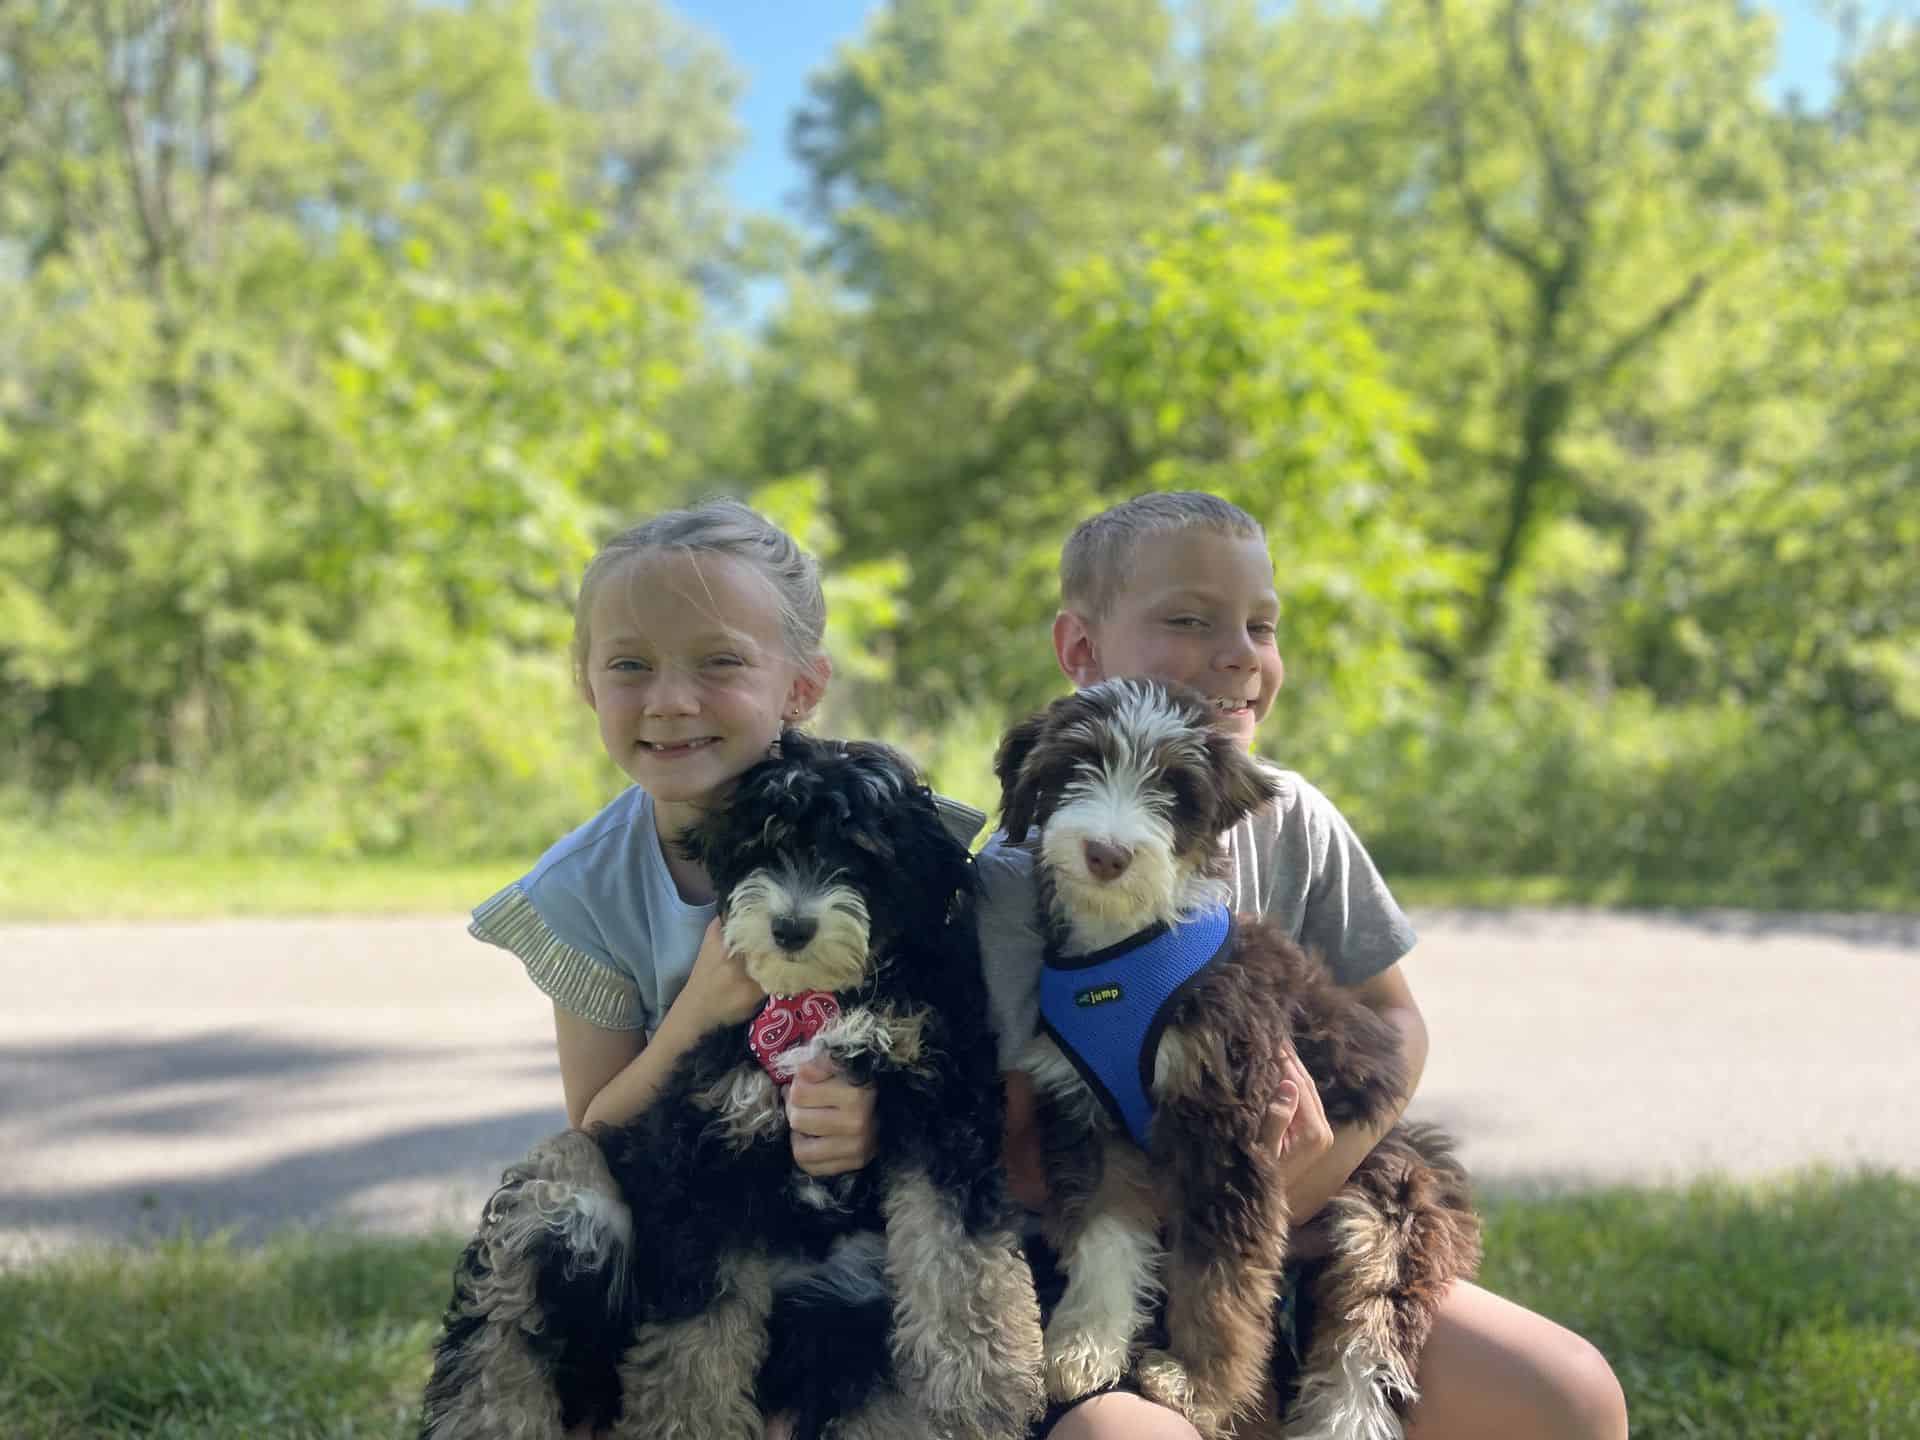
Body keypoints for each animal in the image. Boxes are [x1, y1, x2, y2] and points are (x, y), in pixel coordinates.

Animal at [426, 737, 1044, 1436]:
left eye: (859, 853)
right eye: (765, 846)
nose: (791, 928)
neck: (819, 999)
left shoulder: (943, 1111)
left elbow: (959, 1263)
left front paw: (981, 1388)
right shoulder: (711, 1149)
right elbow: (696, 1337)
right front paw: (689, 1421)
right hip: (561, 1192)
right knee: (500, 1338)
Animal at [998, 683, 1474, 1440]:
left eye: (1173, 787)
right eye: (1075, 766)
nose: (1106, 854)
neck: (1123, 950)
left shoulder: (1223, 1123)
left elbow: (1219, 1274)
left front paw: (1197, 1386)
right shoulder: (1087, 1113)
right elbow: (1105, 1235)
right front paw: (1084, 1345)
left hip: (1388, 1204)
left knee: (1369, 1323)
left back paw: (1342, 1413)